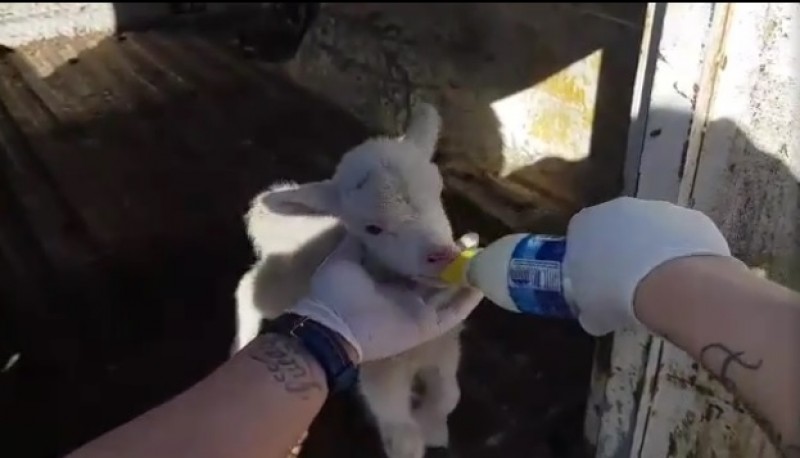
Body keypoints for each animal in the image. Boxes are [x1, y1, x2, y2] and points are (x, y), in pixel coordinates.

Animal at [234, 104, 478, 458]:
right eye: (372, 228)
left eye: (438, 191)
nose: (442, 255)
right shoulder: (382, 372)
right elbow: (396, 417)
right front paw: (406, 440)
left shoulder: (444, 346)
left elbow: (450, 396)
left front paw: (434, 426)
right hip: (278, 282)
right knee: (247, 288)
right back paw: (241, 340)